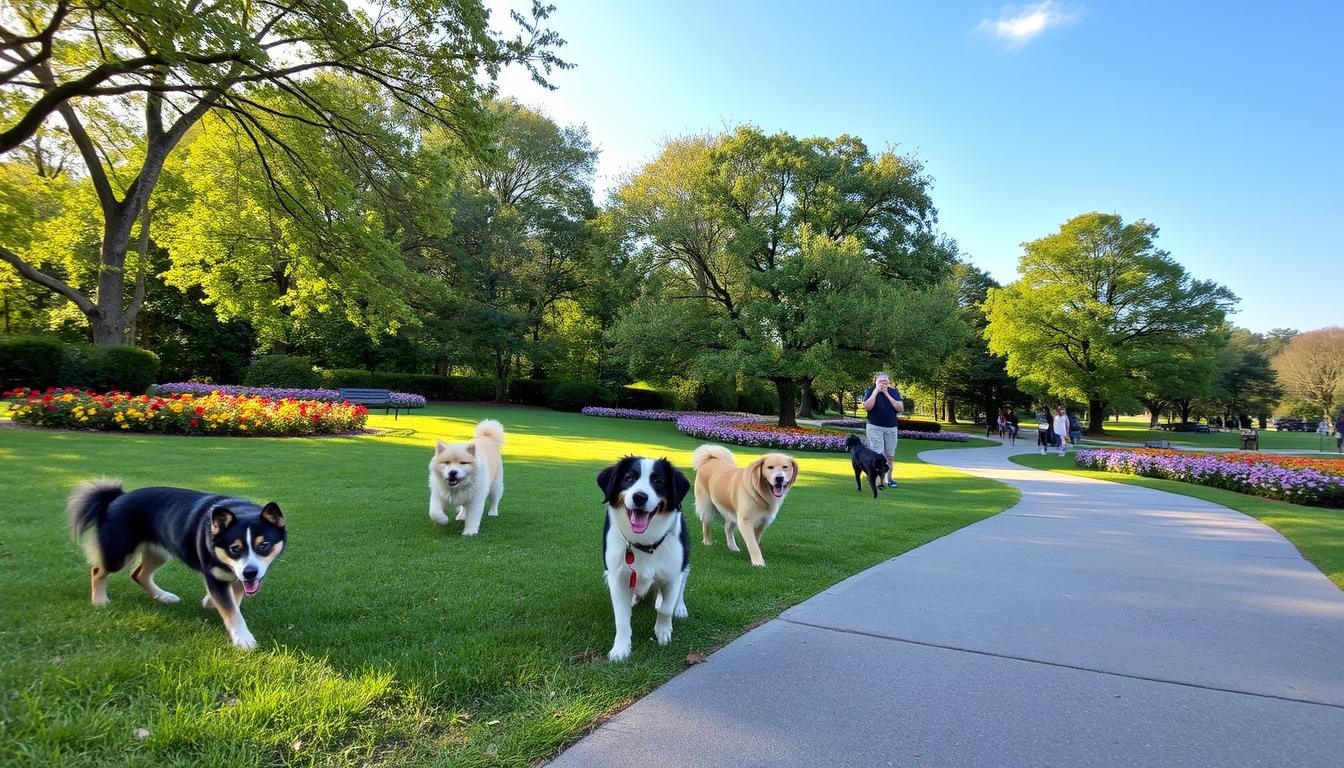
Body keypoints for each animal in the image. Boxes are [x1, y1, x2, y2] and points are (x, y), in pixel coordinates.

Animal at [67, 481, 286, 648]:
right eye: (235, 548)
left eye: (264, 545)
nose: (251, 572)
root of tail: (117, 497)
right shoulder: (214, 574)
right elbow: (231, 609)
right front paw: (243, 639)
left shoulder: (238, 576)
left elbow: (235, 598)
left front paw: (211, 602)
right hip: (118, 552)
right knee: (97, 570)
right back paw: (99, 600)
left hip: (158, 552)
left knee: (139, 574)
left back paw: (163, 597)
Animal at [599, 457, 693, 661]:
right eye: (628, 478)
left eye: (658, 481)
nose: (639, 497)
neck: (645, 543)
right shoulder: (616, 577)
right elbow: (621, 619)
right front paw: (621, 649)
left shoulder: (674, 571)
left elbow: (666, 608)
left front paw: (663, 631)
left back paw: (678, 607)